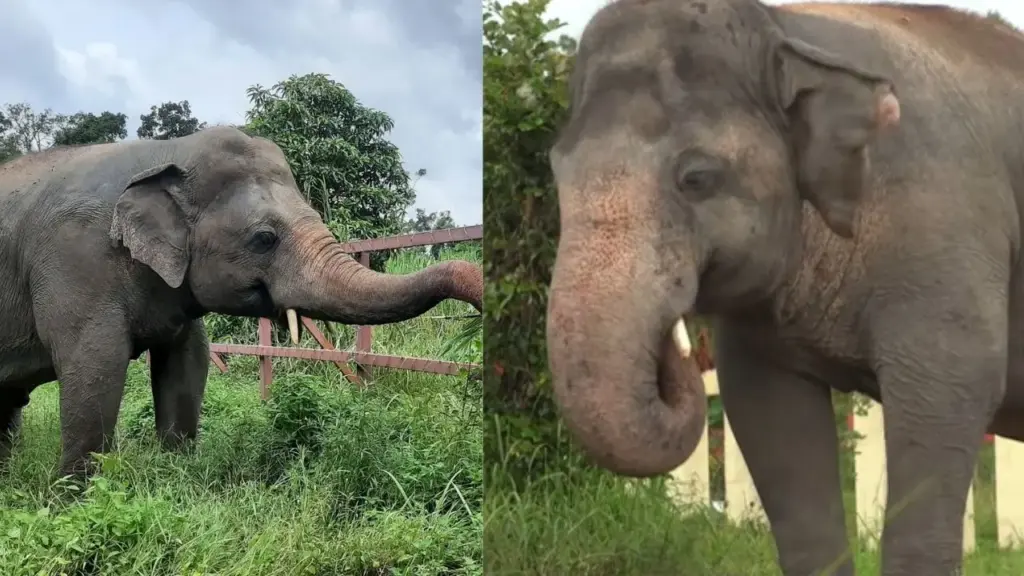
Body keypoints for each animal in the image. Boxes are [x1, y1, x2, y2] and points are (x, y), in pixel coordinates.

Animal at [0, 126, 482, 479]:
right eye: (263, 238)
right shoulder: (74, 259)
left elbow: (188, 362)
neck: (166, 151)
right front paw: (72, 500)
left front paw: (175, 476)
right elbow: (94, 364)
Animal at [544, 0, 1024, 574]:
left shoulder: (945, 230)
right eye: (556, 172)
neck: (784, 26)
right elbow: (767, 412)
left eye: (697, 178)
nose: (673, 348)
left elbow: (952, 388)